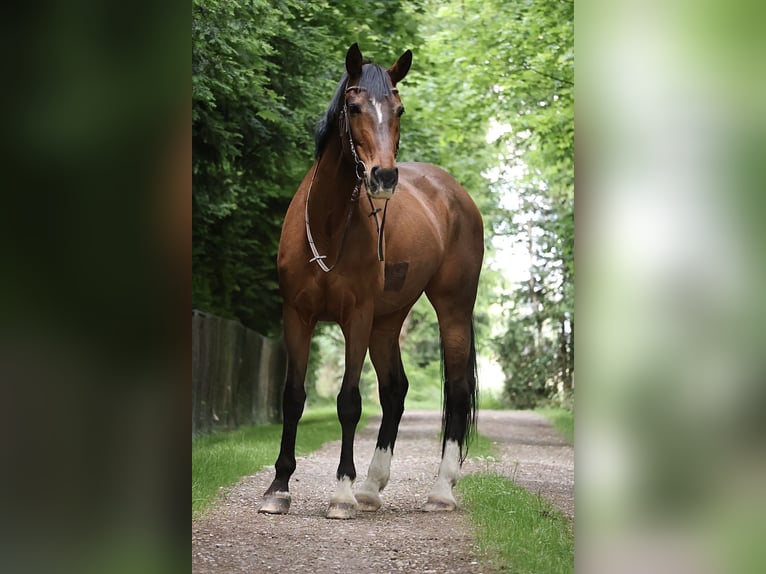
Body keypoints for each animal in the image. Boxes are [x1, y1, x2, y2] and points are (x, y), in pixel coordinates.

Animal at [258, 43, 484, 519]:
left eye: (399, 109)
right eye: (354, 106)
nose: (383, 177)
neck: (327, 223)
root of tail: (453, 191)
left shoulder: (356, 318)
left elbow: (348, 402)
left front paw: (341, 493)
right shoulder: (297, 316)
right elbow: (292, 396)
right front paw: (279, 488)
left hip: (452, 308)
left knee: (456, 390)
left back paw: (440, 490)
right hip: (388, 320)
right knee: (395, 390)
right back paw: (372, 487)